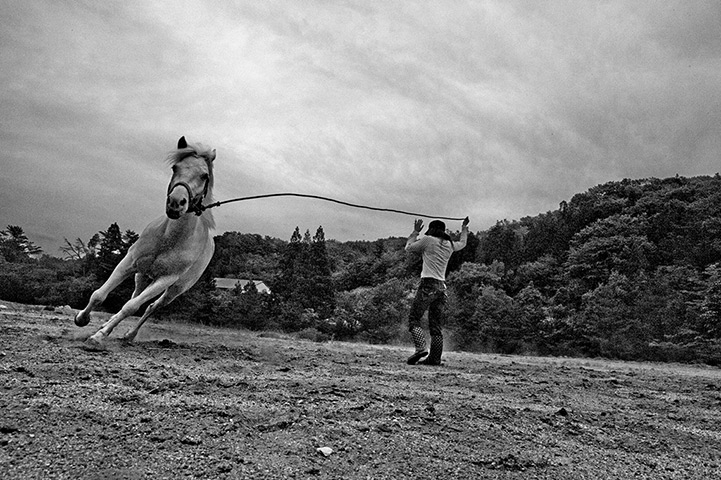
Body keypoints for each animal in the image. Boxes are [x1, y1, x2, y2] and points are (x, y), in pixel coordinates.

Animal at [77, 137, 217, 346]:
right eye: (175, 168)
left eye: (204, 176)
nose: (176, 202)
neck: (169, 239)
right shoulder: (129, 262)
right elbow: (99, 295)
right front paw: (82, 319)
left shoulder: (165, 279)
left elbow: (132, 307)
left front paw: (98, 336)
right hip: (141, 275)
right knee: (136, 295)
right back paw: (108, 325)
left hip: (175, 290)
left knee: (152, 307)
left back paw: (128, 335)